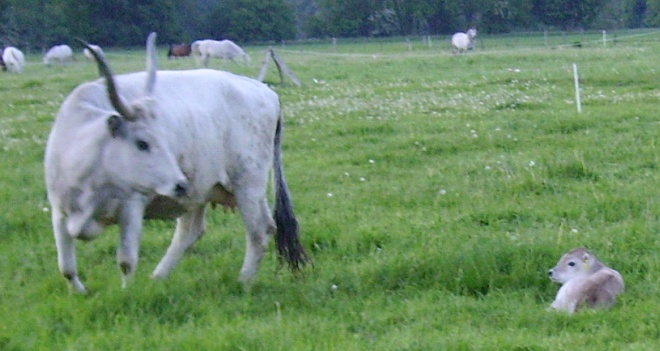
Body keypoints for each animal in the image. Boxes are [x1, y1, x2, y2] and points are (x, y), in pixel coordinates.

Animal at [45, 34, 308, 296]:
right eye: (142, 143)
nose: (180, 184)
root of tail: (265, 91)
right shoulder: (59, 213)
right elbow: (66, 266)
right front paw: (79, 293)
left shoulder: (131, 209)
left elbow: (126, 261)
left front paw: (126, 293)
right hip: (204, 189)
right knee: (192, 232)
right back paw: (157, 278)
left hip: (248, 185)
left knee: (258, 232)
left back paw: (242, 281)